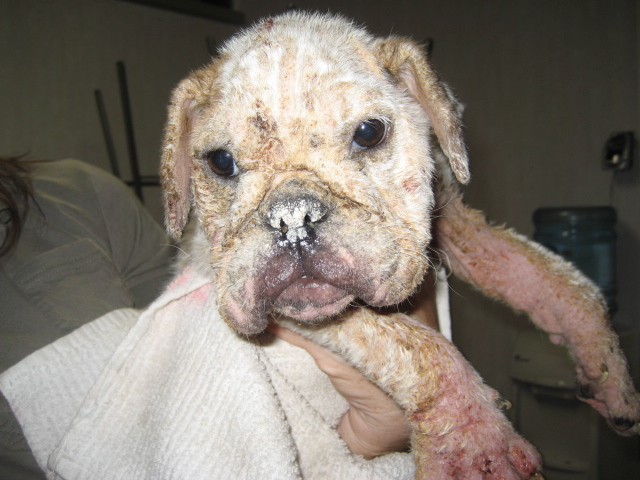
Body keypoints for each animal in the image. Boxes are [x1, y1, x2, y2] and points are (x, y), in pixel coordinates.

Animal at [160, 12, 639, 479]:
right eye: (221, 161)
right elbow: (424, 350)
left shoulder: (456, 221)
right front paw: (475, 444)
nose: (292, 216)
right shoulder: (307, 313)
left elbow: (553, 279)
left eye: (369, 133)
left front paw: (608, 371)